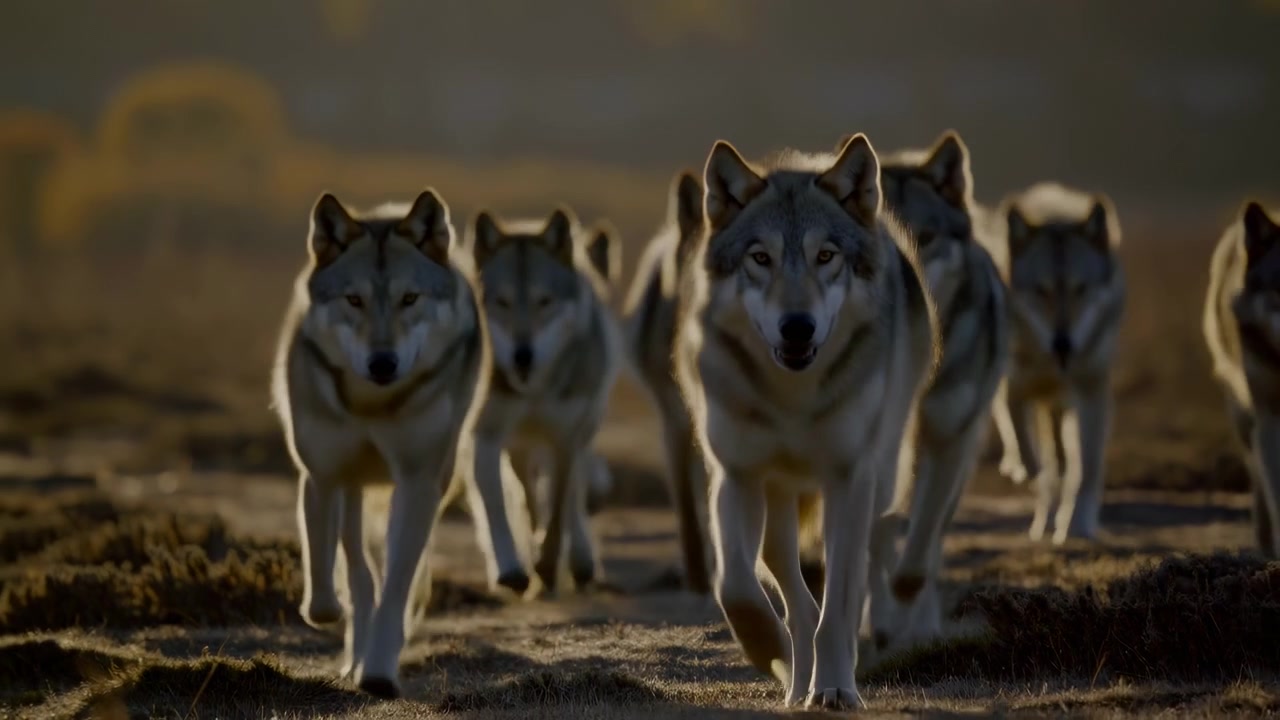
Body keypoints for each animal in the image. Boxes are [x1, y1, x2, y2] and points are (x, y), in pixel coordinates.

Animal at [271, 189, 489, 699]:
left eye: (410, 298)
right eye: (354, 300)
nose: (383, 363)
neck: (373, 405)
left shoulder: (419, 481)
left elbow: (396, 586)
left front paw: (379, 671)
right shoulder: (323, 474)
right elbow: (329, 575)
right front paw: (334, 620)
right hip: (355, 486)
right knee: (356, 564)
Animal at [461, 207, 622, 595]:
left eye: (544, 302)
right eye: (501, 302)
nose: (523, 356)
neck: (533, 390)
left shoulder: (564, 440)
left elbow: (560, 510)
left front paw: (548, 566)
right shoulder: (486, 438)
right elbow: (498, 508)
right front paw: (512, 569)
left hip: (580, 435)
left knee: (573, 496)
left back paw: (581, 560)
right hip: (519, 446)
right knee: (528, 493)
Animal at [675, 134, 938, 709]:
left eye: (825, 256)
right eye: (760, 258)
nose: (797, 327)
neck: (790, 401)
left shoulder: (849, 478)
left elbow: (837, 604)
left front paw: (836, 686)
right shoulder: (736, 477)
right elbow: (735, 587)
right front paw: (769, 650)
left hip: (879, 482)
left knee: (855, 573)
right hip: (778, 503)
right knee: (786, 579)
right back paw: (795, 682)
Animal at [865, 130, 1009, 648]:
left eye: (926, 237)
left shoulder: (948, 439)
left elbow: (918, 557)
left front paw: (914, 627)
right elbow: (877, 545)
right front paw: (881, 620)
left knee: (932, 539)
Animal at [988, 182, 1126, 545]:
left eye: (1081, 288)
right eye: (1042, 291)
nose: (1063, 342)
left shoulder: (1093, 394)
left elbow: (1088, 469)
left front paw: (1078, 524)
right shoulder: (1015, 388)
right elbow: (1025, 443)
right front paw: (1025, 472)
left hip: (1063, 409)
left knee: (1067, 460)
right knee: (1049, 459)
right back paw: (1042, 515)